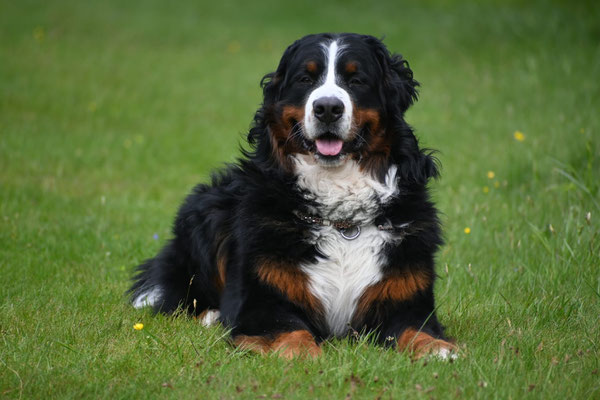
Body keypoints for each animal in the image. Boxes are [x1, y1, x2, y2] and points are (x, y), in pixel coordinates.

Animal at [131, 32, 458, 360]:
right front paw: (305, 355)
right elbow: (293, 331)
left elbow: (416, 330)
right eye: (305, 79)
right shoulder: (263, 302)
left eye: (357, 80)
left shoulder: (405, 300)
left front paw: (440, 349)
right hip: (206, 209)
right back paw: (211, 315)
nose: (328, 108)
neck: (342, 220)